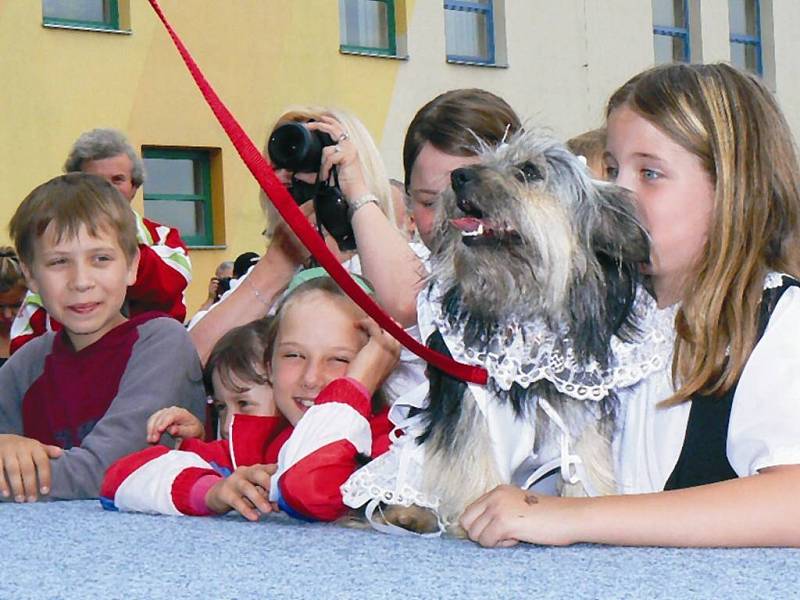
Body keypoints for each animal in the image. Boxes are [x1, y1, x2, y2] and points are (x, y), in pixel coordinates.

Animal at [356, 130, 648, 536]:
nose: (458, 176)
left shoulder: (581, 407)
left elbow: (588, 460)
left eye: (528, 171)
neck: (529, 311)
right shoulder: (474, 405)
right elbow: (473, 455)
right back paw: (410, 514)